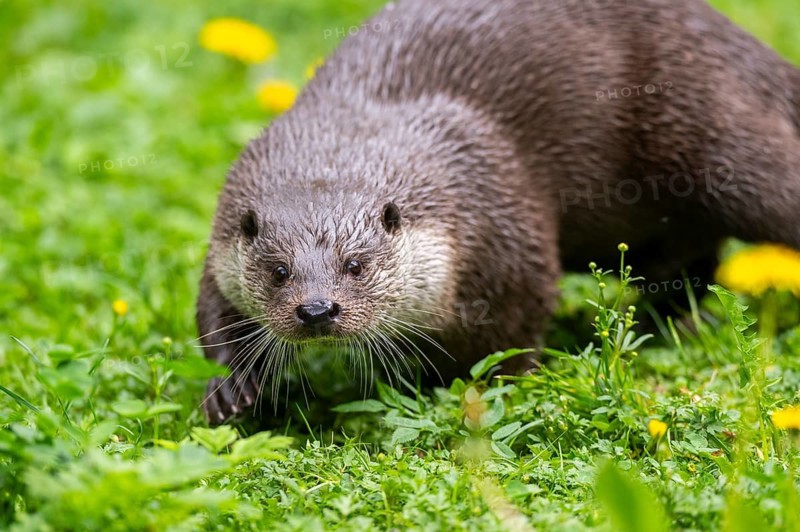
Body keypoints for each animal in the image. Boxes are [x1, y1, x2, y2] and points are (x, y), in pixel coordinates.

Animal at [199, 0, 800, 423]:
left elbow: (514, 331)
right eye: (279, 271)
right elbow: (213, 315)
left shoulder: (504, 220)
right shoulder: (223, 235)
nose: (318, 309)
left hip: (719, 135)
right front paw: (230, 388)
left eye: (356, 265)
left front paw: (489, 391)